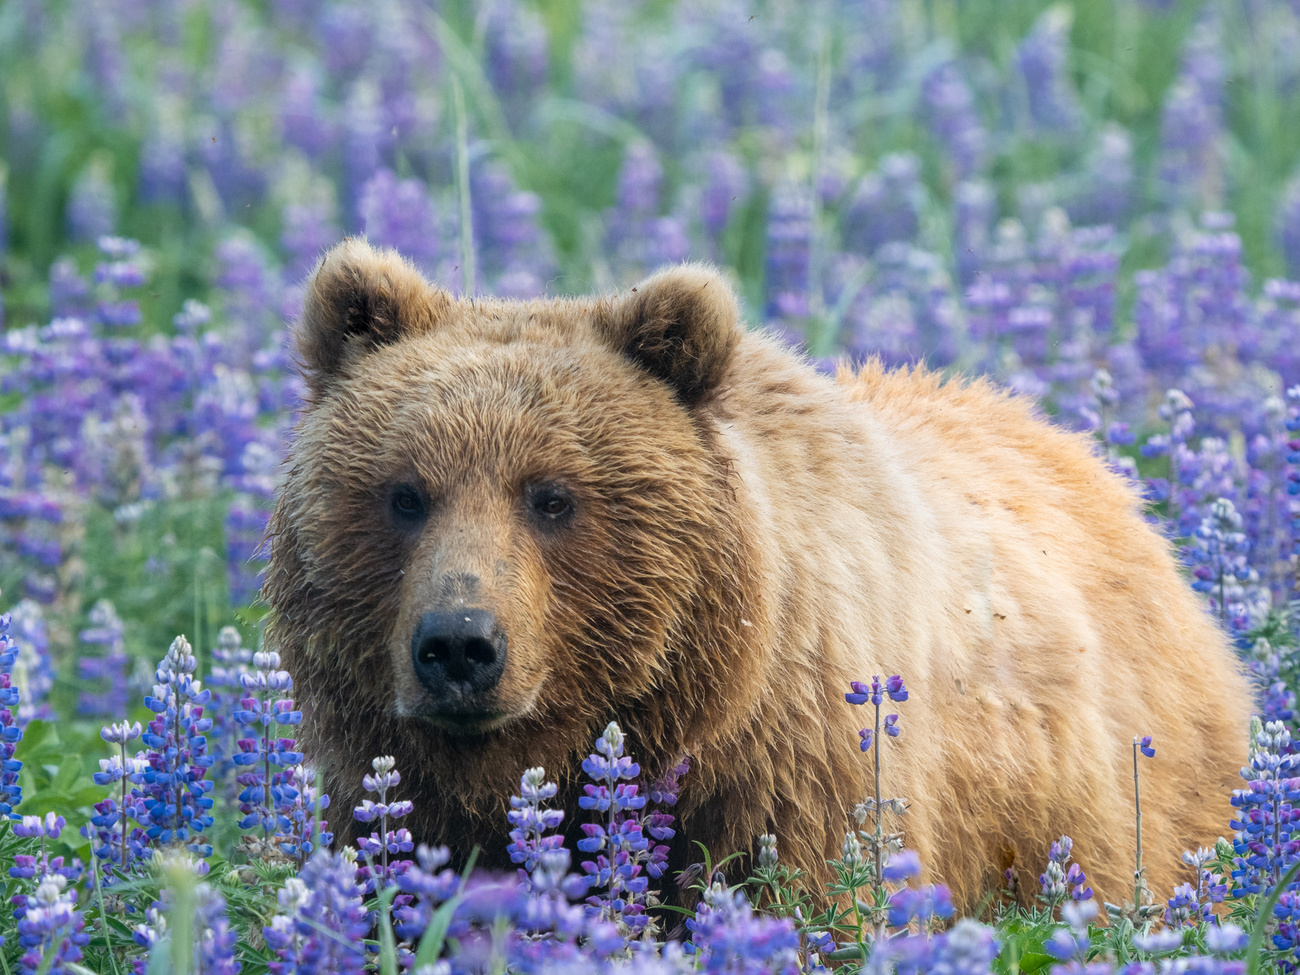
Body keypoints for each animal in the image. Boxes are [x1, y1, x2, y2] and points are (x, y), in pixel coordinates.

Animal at [263, 236, 1248, 915]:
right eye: (405, 492)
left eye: (552, 497)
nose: (460, 644)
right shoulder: (403, 792)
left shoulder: (797, 765)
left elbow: (814, 902)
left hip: (1111, 806)